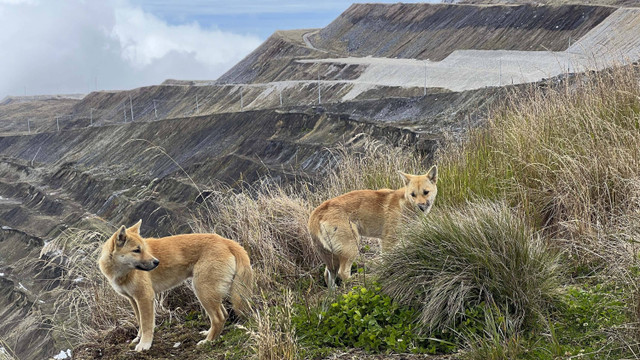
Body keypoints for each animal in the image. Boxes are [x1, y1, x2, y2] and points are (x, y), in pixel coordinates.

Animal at [97, 219, 252, 352]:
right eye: (136, 250)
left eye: (144, 249)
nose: (156, 262)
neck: (122, 273)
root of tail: (226, 241)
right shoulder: (133, 300)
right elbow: (140, 322)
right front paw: (138, 338)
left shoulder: (145, 298)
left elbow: (147, 325)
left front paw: (144, 344)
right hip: (210, 292)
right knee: (223, 315)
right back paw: (208, 334)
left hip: (203, 290)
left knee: (218, 318)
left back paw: (208, 341)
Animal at [308, 166, 438, 286]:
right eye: (413, 194)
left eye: (426, 192)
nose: (421, 206)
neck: (404, 205)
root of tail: (317, 212)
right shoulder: (388, 240)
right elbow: (386, 259)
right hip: (351, 247)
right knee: (343, 273)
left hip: (333, 257)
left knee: (328, 275)